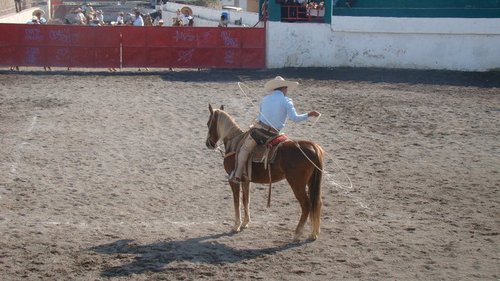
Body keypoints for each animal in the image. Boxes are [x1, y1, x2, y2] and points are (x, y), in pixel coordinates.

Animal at [204, 104, 324, 240]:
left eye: (208, 123)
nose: (208, 143)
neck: (234, 143)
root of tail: (313, 146)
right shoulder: (246, 180)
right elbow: (246, 200)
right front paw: (245, 223)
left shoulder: (234, 180)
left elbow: (237, 202)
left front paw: (236, 225)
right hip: (311, 182)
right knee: (316, 203)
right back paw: (314, 233)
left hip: (297, 184)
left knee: (306, 205)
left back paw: (298, 232)